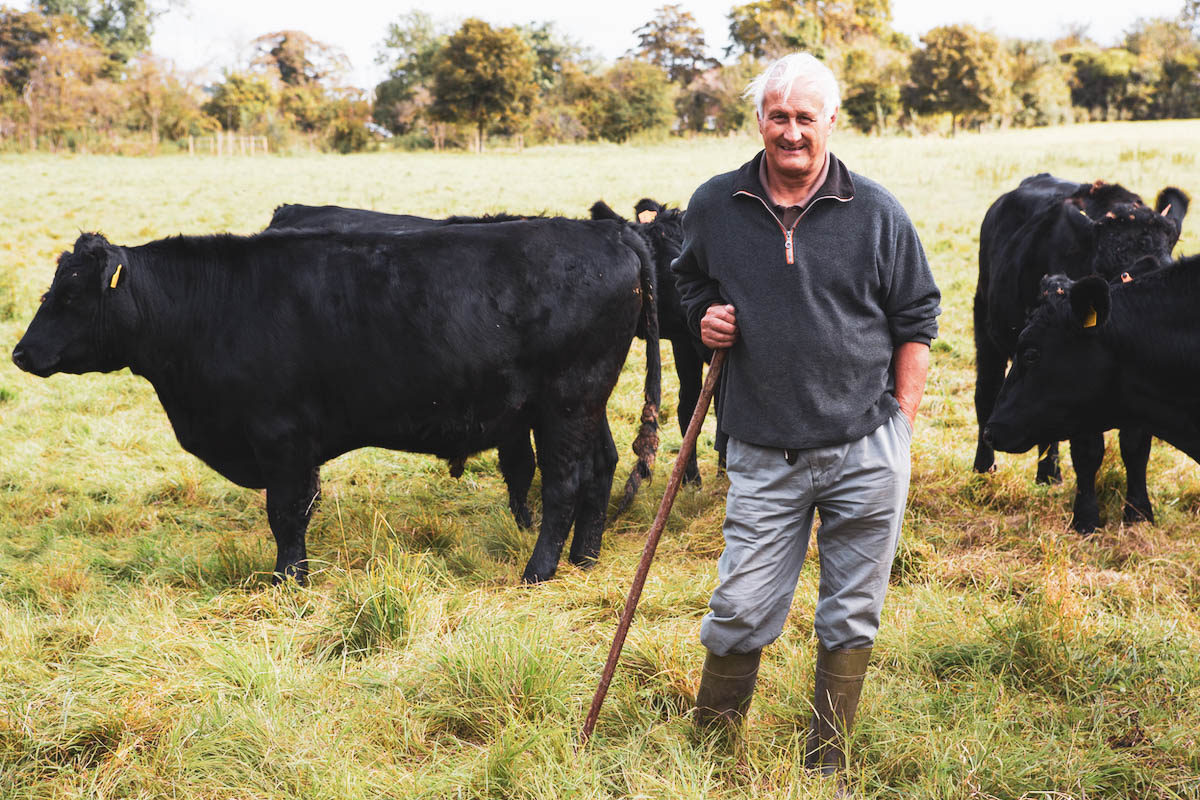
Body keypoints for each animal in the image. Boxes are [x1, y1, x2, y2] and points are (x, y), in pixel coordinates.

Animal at [11, 221, 667, 585]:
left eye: (70, 294)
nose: (20, 352)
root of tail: (611, 232)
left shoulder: (280, 438)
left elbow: (285, 513)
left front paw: (288, 581)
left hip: (565, 403)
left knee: (563, 485)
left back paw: (538, 571)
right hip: (586, 406)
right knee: (600, 470)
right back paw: (584, 559)